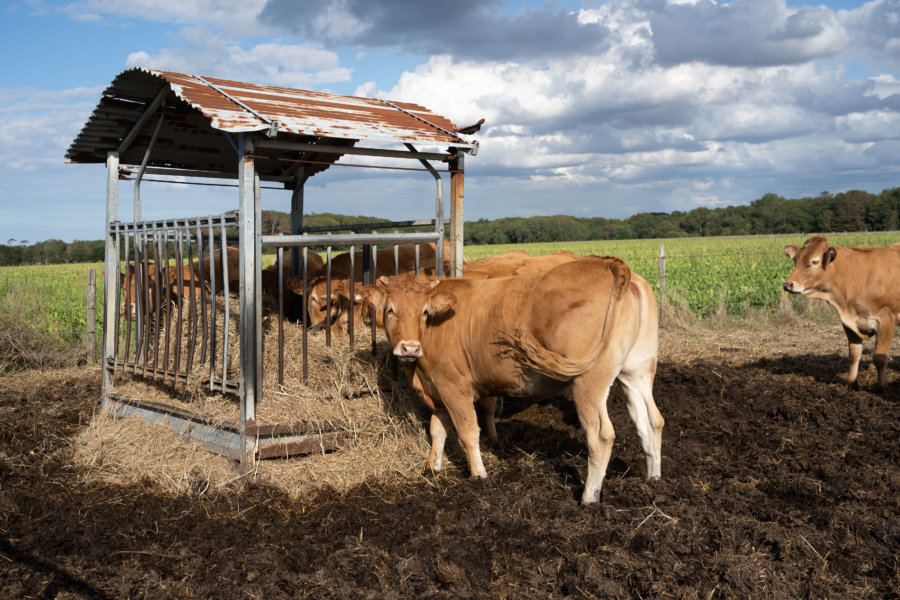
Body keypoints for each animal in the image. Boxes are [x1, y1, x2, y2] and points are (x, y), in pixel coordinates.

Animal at [358, 255, 660, 504]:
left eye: (423, 311)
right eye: (390, 310)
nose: (409, 348)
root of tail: (608, 264)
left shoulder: (454, 387)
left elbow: (468, 431)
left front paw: (479, 476)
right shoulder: (438, 390)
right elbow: (438, 430)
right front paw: (433, 468)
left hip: (588, 382)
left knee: (601, 436)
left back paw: (589, 498)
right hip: (636, 372)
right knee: (651, 422)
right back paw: (653, 479)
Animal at [780, 234, 900, 390]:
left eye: (815, 261)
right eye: (795, 260)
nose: (787, 284)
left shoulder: (886, 319)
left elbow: (880, 357)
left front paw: (881, 387)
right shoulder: (849, 322)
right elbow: (854, 354)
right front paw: (851, 383)